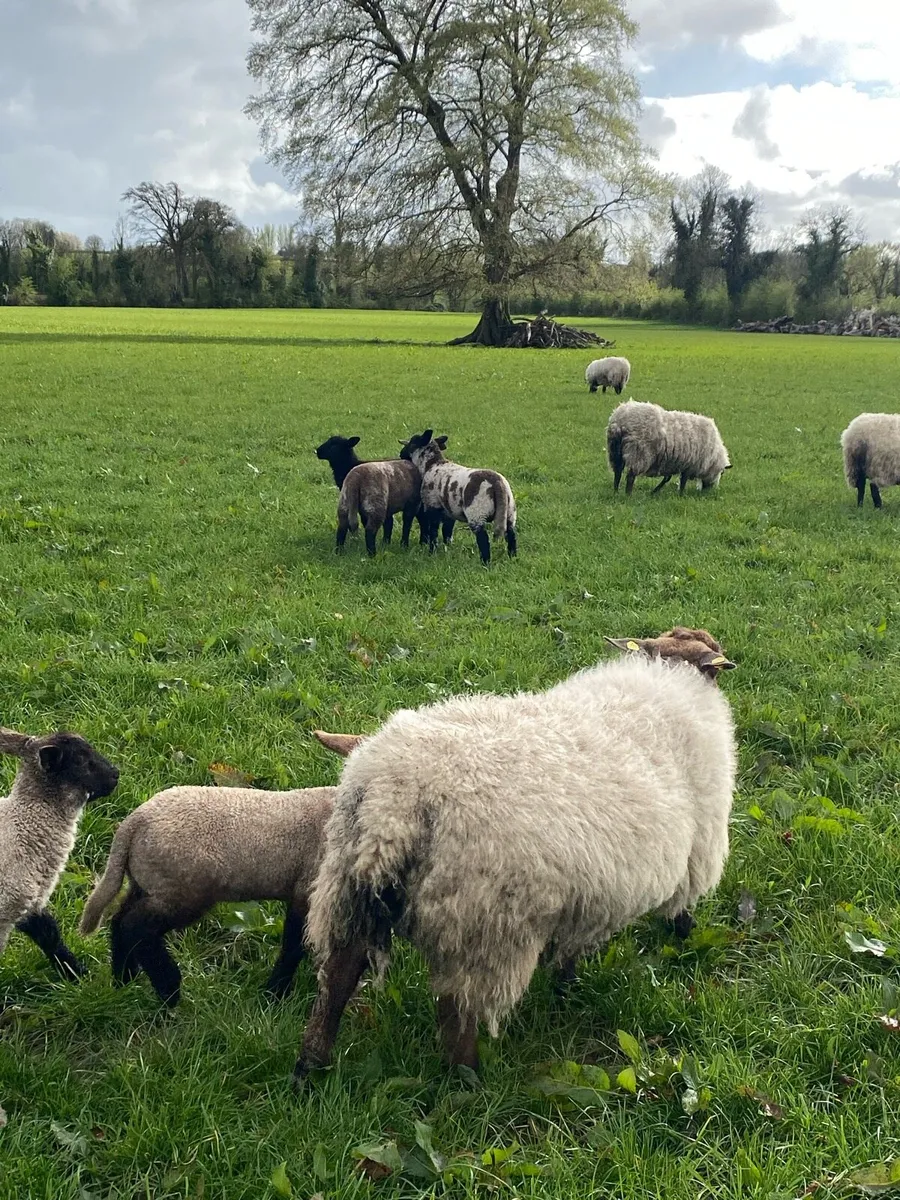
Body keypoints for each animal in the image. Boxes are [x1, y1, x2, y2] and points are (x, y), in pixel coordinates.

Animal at [78, 783, 336, 1006]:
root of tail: (133, 822)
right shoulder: (308, 890)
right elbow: (293, 946)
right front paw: (275, 995)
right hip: (182, 890)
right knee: (135, 927)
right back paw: (168, 987)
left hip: (147, 883)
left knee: (120, 921)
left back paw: (124, 979)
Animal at [293, 627, 737, 1078]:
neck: (669, 675)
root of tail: (396, 797)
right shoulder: (697, 851)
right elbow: (681, 910)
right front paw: (685, 937)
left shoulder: (585, 896)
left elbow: (569, 949)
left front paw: (565, 988)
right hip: (481, 923)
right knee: (457, 1012)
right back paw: (468, 1079)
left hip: (348, 887)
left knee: (338, 976)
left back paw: (309, 1066)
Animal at [399, 429, 517, 565]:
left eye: (412, 442)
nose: (400, 454)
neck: (431, 464)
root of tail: (497, 483)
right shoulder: (450, 511)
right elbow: (447, 531)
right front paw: (447, 548)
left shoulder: (432, 505)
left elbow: (433, 531)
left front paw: (431, 551)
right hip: (510, 511)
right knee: (512, 536)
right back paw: (513, 558)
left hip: (477, 512)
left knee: (483, 540)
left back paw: (485, 563)